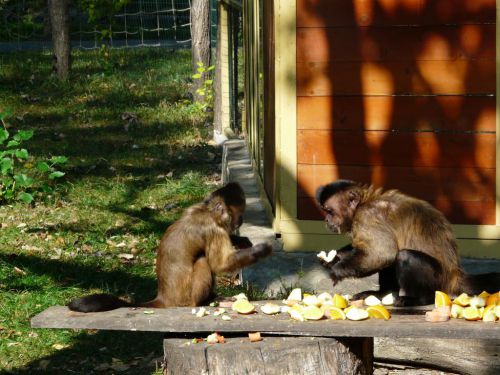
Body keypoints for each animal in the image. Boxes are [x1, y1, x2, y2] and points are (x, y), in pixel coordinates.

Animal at [68, 182, 272, 312]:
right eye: (239, 215)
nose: (242, 221)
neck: (207, 212)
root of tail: (163, 297)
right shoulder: (213, 229)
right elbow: (219, 264)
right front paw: (260, 251)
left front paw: (242, 240)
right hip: (185, 297)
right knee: (203, 260)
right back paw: (205, 301)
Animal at [316, 181, 500, 306]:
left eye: (330, 211)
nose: (326, 220)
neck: (364, 203)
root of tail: (454, 274)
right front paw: (334, 258)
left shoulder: (367, 217)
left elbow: (382, 254)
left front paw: (337, 270)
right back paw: (384, 294)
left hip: (440, 280)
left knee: (403, 255)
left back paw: (420, 299)